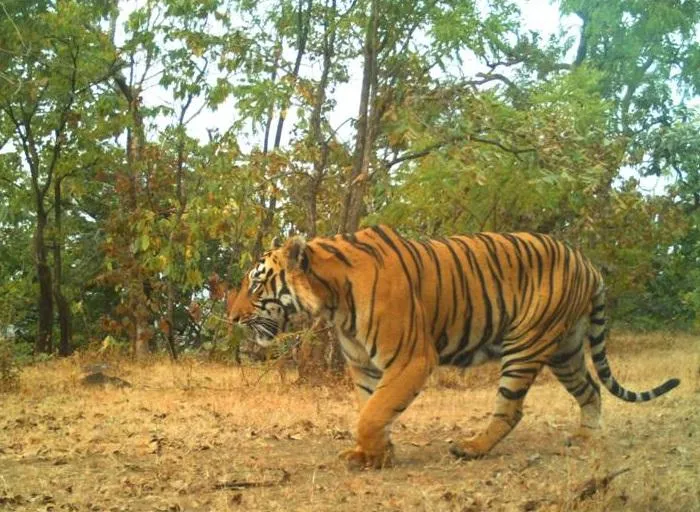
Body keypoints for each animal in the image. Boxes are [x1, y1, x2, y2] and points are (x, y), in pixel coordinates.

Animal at [228, 225, 680, 469]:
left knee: (512, 408)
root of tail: (587, 263)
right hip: (565, 349)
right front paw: (375, 456)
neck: (334, 299)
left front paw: (374, 452)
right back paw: (587, 438)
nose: (231, 317)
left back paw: (472, 447)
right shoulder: (364, 366)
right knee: (591, 389)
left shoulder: (411, 358)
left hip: (527, 343)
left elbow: (373, 414)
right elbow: (370, 408)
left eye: (256, 284)